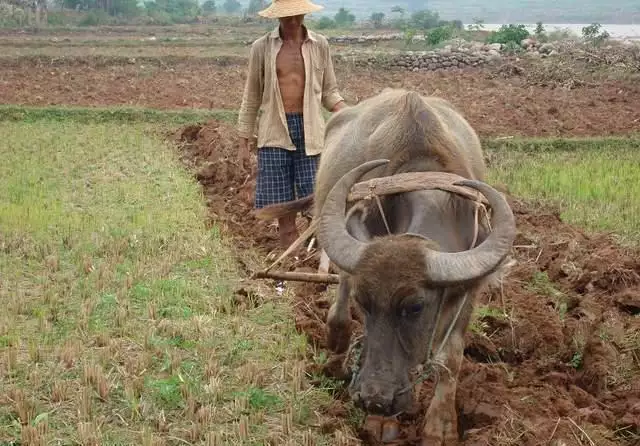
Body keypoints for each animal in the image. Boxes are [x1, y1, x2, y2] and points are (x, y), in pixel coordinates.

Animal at [260, 89, 516, 444]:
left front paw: (440, 426)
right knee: (339, 305)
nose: (374, 399)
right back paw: (336, 348)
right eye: (364, 303)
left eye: (415, 307)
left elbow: (450, 358)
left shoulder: (470, 287)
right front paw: (380, 424)